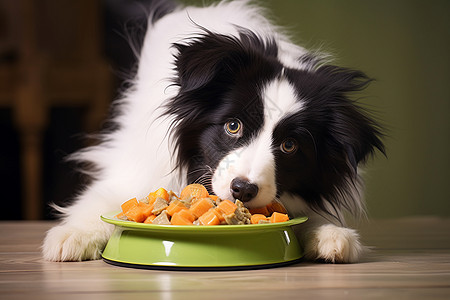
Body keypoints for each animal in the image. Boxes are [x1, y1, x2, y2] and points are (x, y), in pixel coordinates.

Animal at [42, 0, 384, 262]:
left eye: (290, 145)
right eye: (233, 126)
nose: (243, 190)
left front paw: (330, 235)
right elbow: (102, 201)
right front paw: (72, 236)